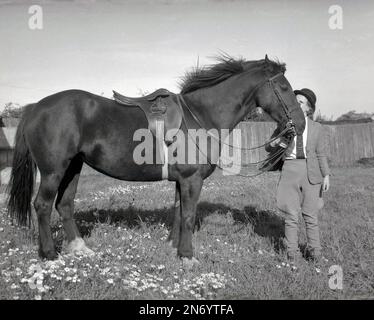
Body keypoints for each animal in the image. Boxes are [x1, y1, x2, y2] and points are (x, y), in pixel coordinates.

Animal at [6, 55, 304, 264]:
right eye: (284, 87)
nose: (300, 123)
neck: (201, 115)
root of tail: (35, 107)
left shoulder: (182, 180)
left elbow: (179, 212)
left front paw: (173, 247)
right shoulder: (192, 180)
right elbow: (188, 215)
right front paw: (188, 256)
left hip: (73, 167)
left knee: (64, 204)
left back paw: (80, 248)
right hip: (53, 171)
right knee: (43, 206)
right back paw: (49, 254)